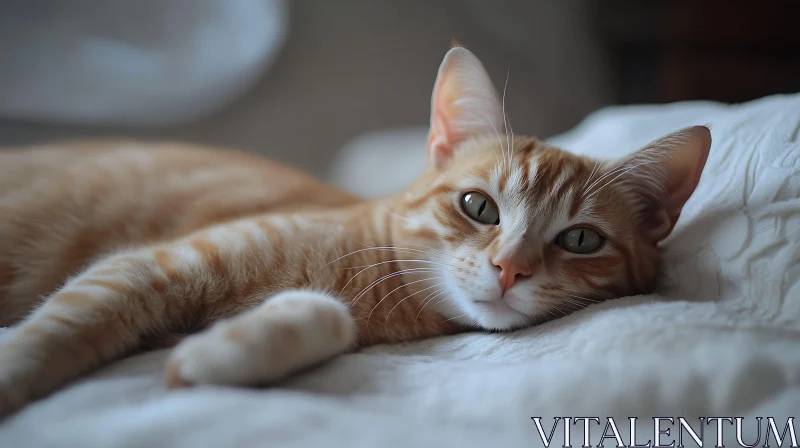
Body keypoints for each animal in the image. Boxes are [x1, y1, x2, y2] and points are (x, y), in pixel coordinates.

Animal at [0, 45, 708, 416]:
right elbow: (58, 329)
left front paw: (214, 357)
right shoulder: (150, 263)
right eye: (479, 207)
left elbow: (324, 318)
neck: (369, 279)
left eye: (581, 240)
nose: (511, 268)